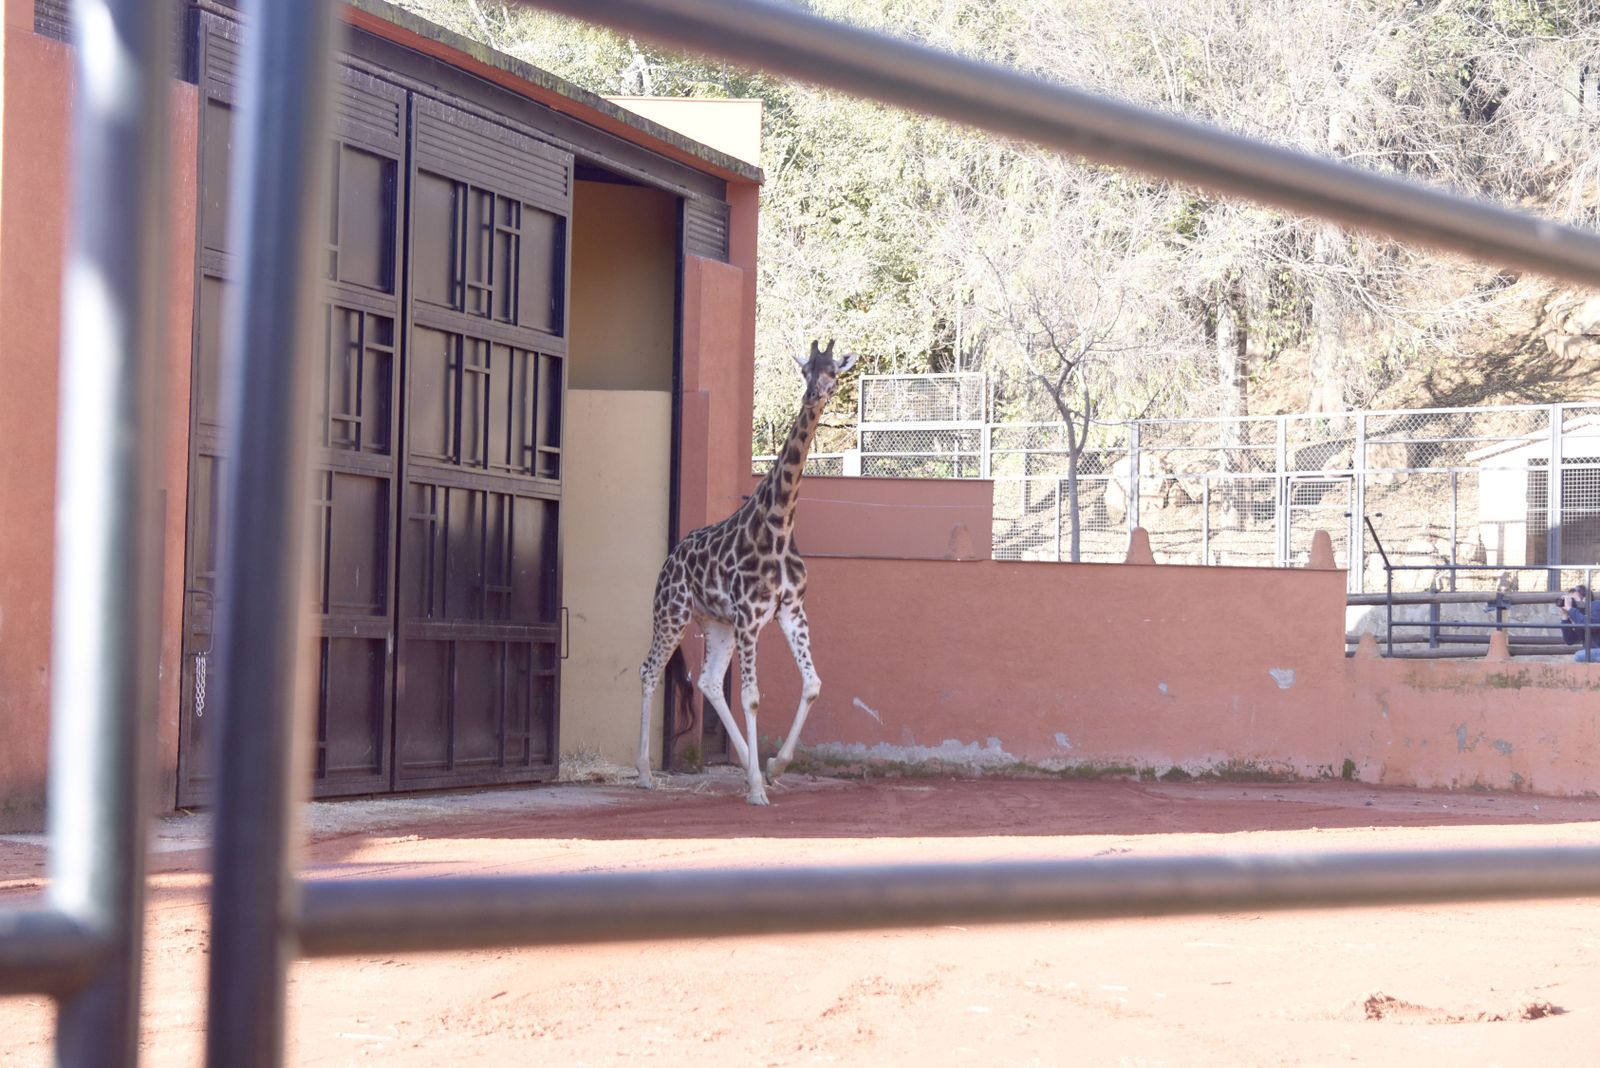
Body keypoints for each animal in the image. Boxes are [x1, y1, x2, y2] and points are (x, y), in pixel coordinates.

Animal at [637, 339, 858, 805]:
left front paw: (773, 767)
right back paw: (645, 773)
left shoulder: (791, 612)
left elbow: (813, 684)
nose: (813, 395)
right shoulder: (751, 617)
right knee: (650, 671)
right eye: (806, 370)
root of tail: (670, 558)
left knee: (707, 682)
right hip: (673, 613)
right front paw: (759, 787)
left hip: (716, 623)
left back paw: (745, 766)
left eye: (833, 371)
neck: (779, 525)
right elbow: (753, 696)